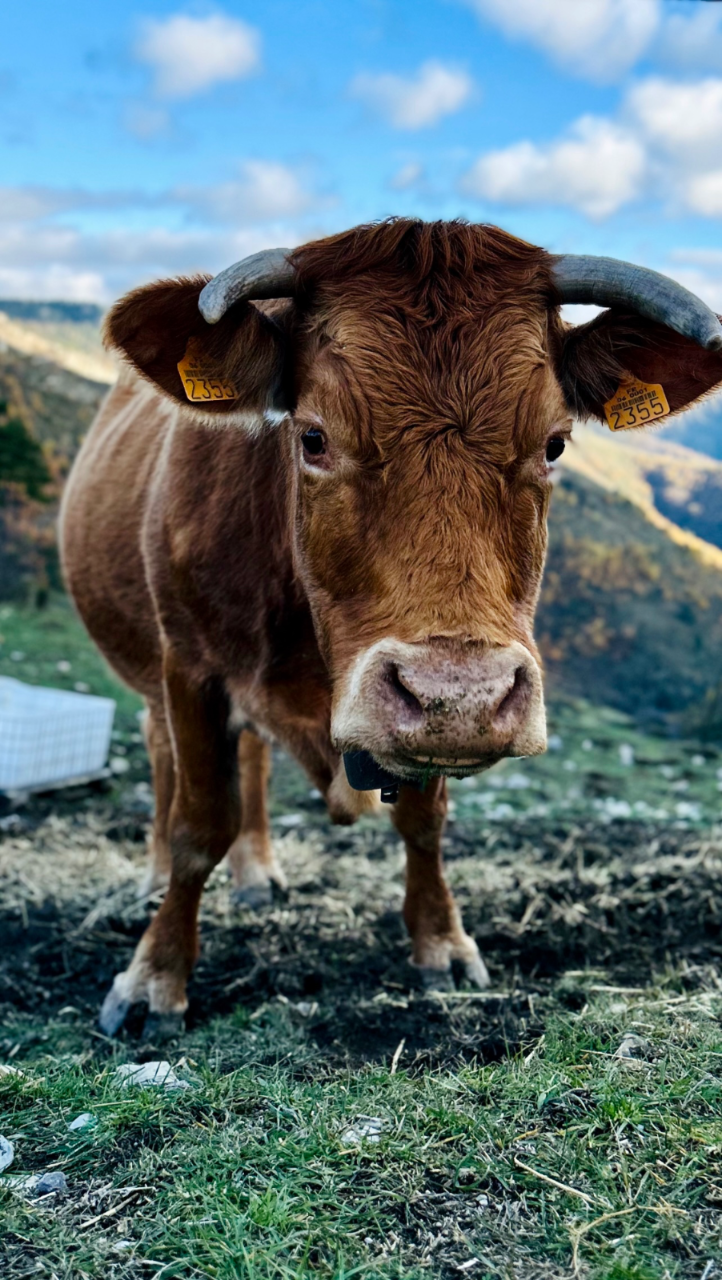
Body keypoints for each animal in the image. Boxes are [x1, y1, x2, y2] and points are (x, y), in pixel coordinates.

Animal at [59, 219, 722, 1041]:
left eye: (555, 443)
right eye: (314, 437)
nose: (460, 695)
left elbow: (423, 821)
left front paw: (442, 943)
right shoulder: (192, 666)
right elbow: (198, 823)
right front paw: (154, 978)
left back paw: (257, 873)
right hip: (153, 671)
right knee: (164, 758)